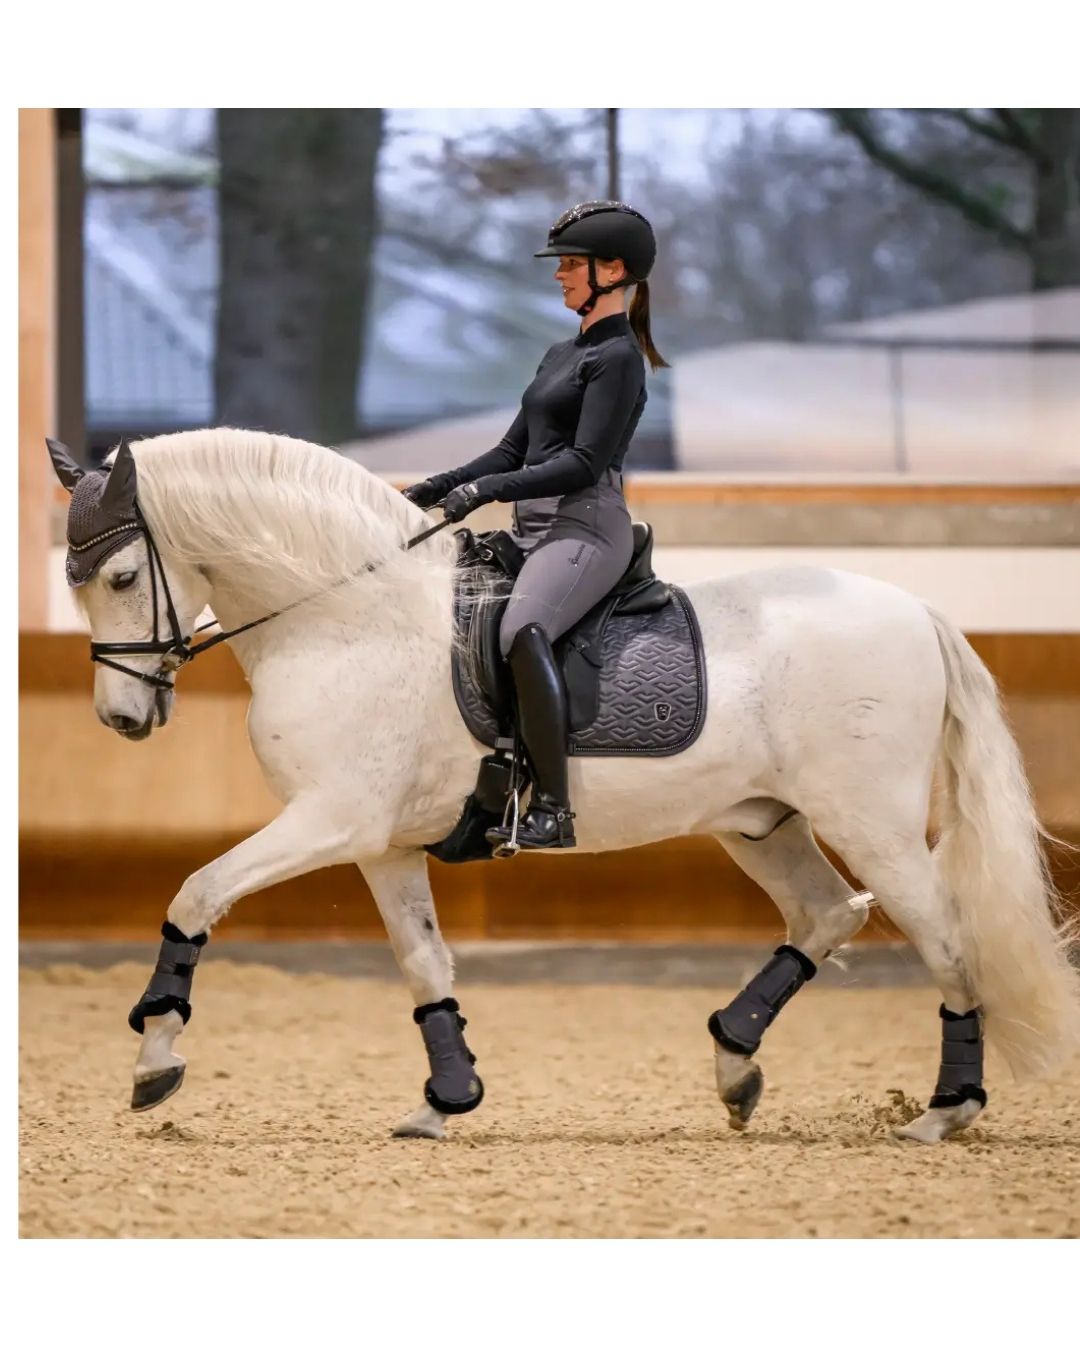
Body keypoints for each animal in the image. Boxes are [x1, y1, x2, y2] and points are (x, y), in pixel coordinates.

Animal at [47, 427, 1080, 1145]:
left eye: (123, 575)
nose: (122, 719)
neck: (346, 615)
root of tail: (917, 608)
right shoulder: (380, 842)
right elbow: (426, 965)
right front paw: (447, 1100)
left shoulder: (329, 820)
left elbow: (196, 893)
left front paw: (154, 1057)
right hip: (763, 823)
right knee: (827, 915)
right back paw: (735, 1066)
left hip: (872, 826)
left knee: (949, 942)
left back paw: (945, 1111)